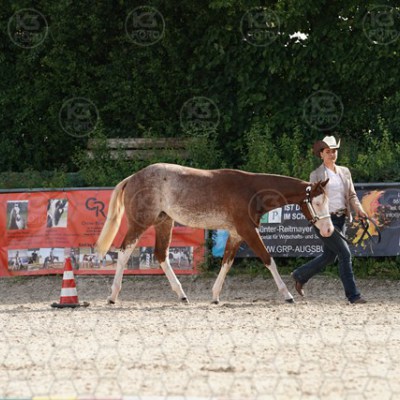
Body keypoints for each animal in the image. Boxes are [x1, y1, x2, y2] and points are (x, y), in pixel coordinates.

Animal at [96, 163, 333, 304]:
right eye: (317, 203)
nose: (329, 229)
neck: (252, 191)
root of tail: (133, 177)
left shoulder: (236, 234)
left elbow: (226, 263)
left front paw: (215, 296)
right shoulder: (248, 230)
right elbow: (268, 259)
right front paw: (288, 295)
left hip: (164, 222)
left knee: (161, 255)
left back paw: (182, 295)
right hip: (140, 223)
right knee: (124, 252)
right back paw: (112, 295)